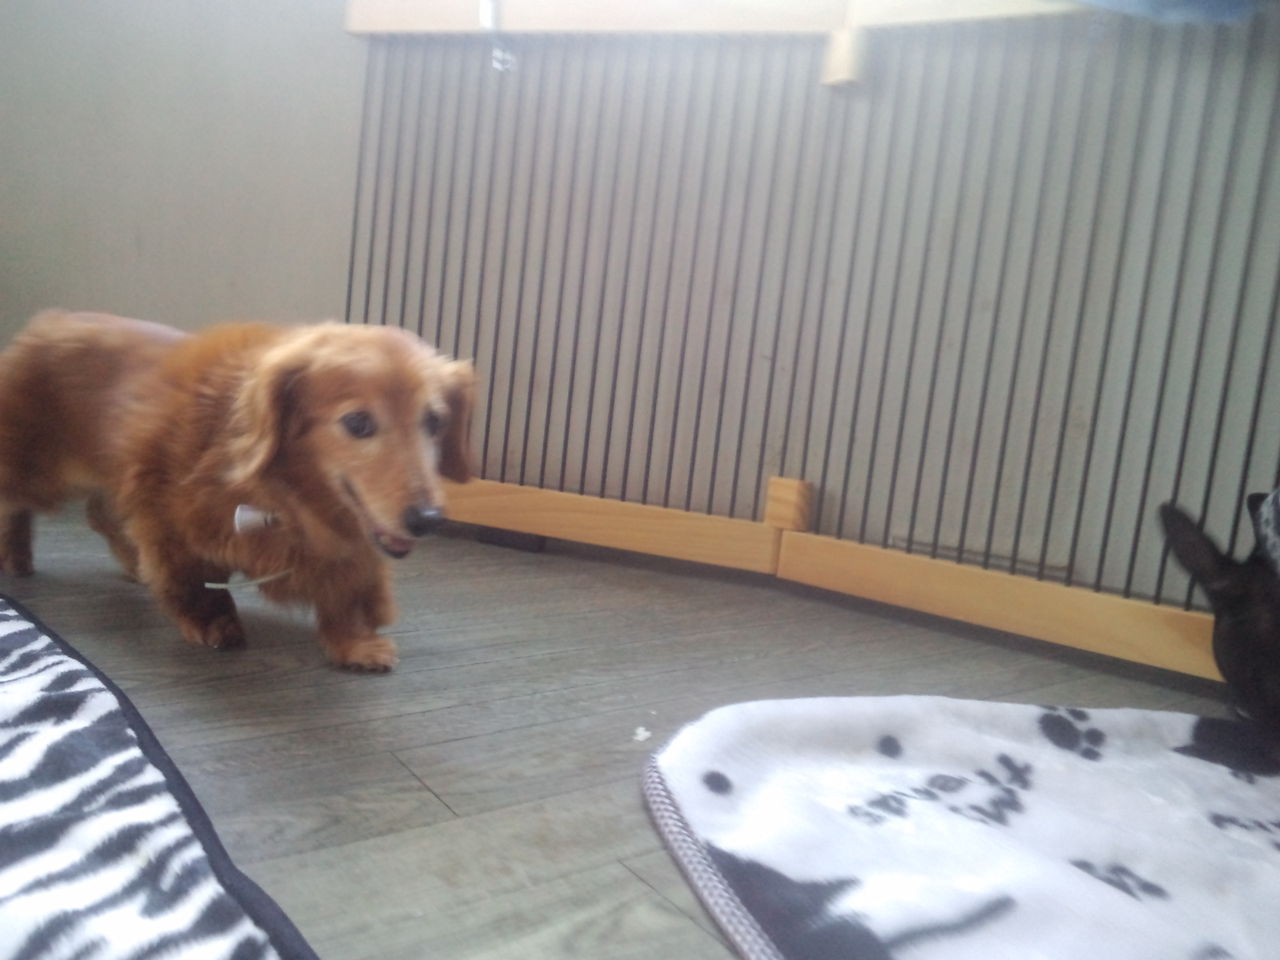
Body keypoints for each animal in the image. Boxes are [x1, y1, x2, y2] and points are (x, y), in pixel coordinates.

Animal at [0, 310, 475, 671]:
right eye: (358, 422)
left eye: (434, 421)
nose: (428, 520)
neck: (285, 494)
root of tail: (45, 322)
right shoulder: (166, 515)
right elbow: (193, 581)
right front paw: (211, 620)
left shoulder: (346, 546)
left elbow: (347, 585)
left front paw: (353, 641)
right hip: (36, 474)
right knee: (15, 507)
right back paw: (16, 557)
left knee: (101, 514)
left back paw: (133, 564)